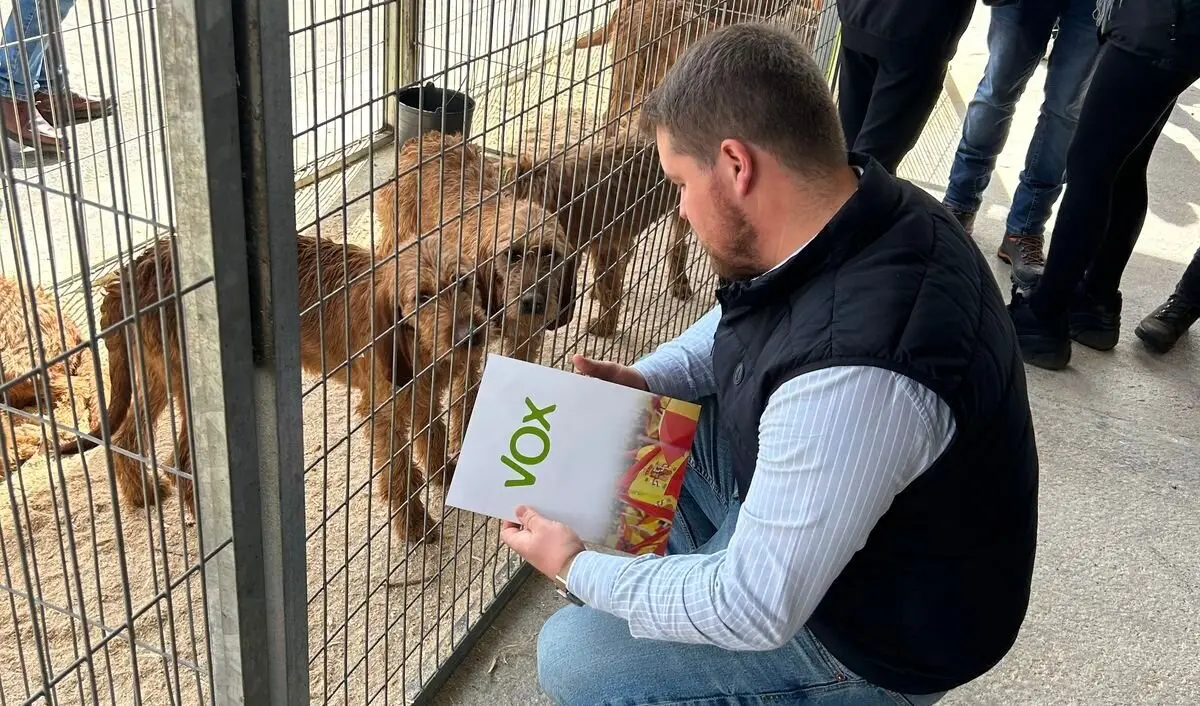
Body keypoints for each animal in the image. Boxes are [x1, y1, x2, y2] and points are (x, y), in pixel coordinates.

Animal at [83, 234, 487, 542]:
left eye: (463, 280)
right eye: (422, 297)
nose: (472, 334)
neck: (413, 340)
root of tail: (134, 269)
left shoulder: (423, 396)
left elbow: (433, 437)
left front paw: (448, 475)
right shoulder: (382, 411)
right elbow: (400, 474)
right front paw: (416, 526)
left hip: (156, 375)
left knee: (125, 437)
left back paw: (141, 493)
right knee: (178, 460)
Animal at [376, 131, 578, 458]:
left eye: (552, 254)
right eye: (513, 255)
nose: (532, 302)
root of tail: (427, 138)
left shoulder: (525, 338)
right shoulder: (467, 348)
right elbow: (464, 397)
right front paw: (461, 441)